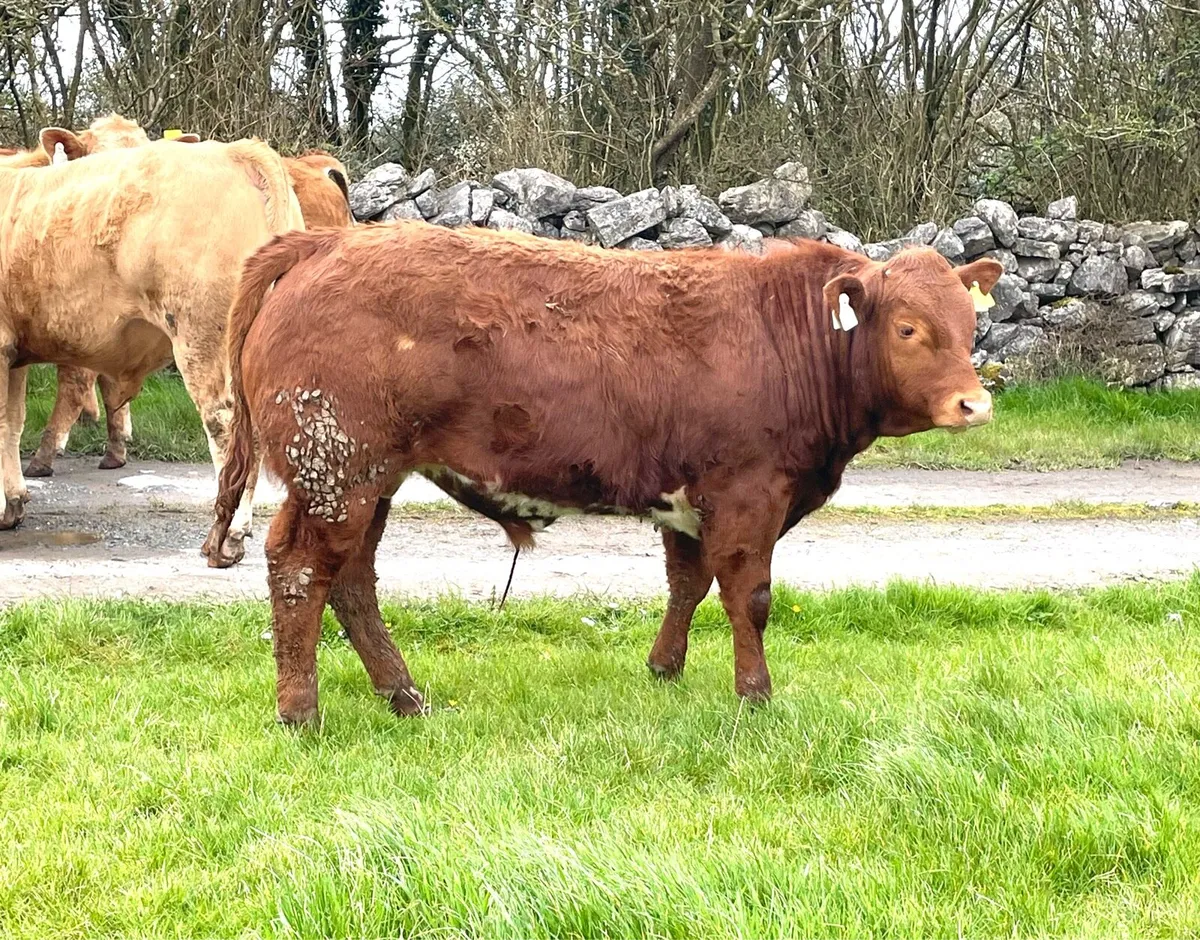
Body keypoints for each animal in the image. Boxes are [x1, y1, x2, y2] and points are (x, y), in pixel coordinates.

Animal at [0, 137, 305, 562]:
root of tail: (233, 151)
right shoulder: (13, 353)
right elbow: (12, 422)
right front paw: (13, 505)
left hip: (202, 335)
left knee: (226, 427)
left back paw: (227, 536)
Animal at [203, 222, 1001, 725]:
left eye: (970, 325)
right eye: (909, 328)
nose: (975, 403)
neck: (786, 336)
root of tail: (329, 240)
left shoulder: (691, 500)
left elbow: (688, 584)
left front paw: (664, 669)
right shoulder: (748, 493)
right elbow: (749, 597)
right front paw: (755, 694)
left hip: (367, 481)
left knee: (351, 583)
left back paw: (404, 696)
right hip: (335, 470)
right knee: (300, 571)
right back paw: (301, 709)